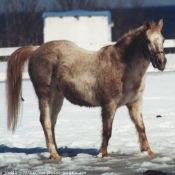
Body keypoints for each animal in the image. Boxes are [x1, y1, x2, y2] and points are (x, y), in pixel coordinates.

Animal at [6, 19, 166, 159]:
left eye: (163, 39)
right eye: (147, 40)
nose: (161, 62)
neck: (122, 65)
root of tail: (35, 50)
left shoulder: (134, 103)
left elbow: (141, 128)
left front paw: (149, 153)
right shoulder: (109, 105)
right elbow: (107, 131)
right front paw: (102, 155)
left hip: (57, 97)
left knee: (52, 122)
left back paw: (56, 151)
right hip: (44, 95)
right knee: (45, 121)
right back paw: (54, 154)